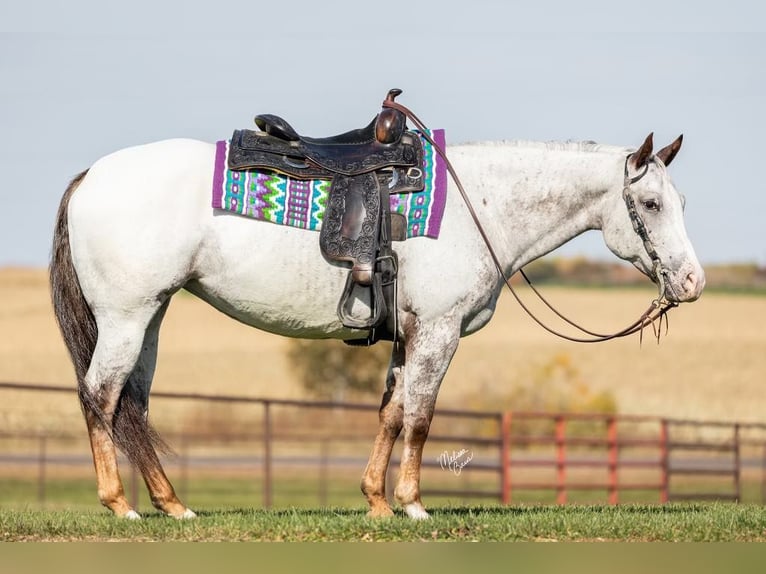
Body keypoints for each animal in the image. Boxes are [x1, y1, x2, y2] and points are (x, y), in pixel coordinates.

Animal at [49, 128, 708, 524]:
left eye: (681, 203)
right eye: (651, 205)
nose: (692, 282)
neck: (480, 206)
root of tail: (90, 176)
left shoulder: (408, 336)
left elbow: (391, 413)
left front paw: (376, 502)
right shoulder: (438, 331)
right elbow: (419, 416)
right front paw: (413, 505)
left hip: (150, 315)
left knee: (133, 402)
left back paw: (173, 504)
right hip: (127, 316)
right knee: (100, 396)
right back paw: (120, 505)